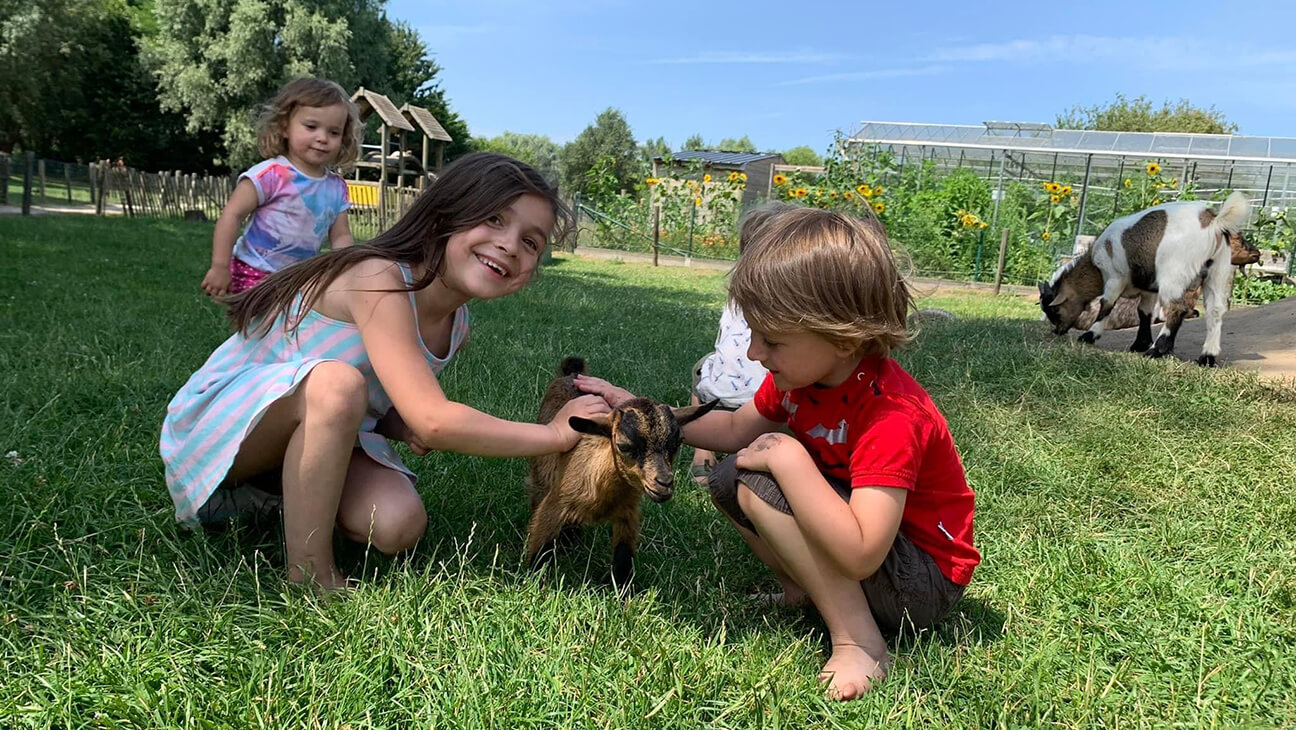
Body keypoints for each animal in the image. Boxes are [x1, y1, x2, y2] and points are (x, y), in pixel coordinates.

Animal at [526, 357, 720, 586]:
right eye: (623, 445)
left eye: (678, 442)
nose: (664, 483)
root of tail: (570, 373)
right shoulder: (554, 505)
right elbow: (540, 551)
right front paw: (531, 581)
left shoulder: (628, 513)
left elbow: (623, 558)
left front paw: (625, 590)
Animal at [1036, 191, 1249, 368]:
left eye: (1054, 310)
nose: (1058, 331)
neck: (1096, 265)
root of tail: (1214, 222)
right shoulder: (1148, 289)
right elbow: (1143, 312)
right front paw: (1140, 343)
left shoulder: (1114, 278)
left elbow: (1107, 305)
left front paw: (1090, 335)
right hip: (1218, 272)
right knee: (1215, 311)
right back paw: (1207, 357)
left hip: (1173, 273)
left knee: (1177, 308)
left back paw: (1157, 350)